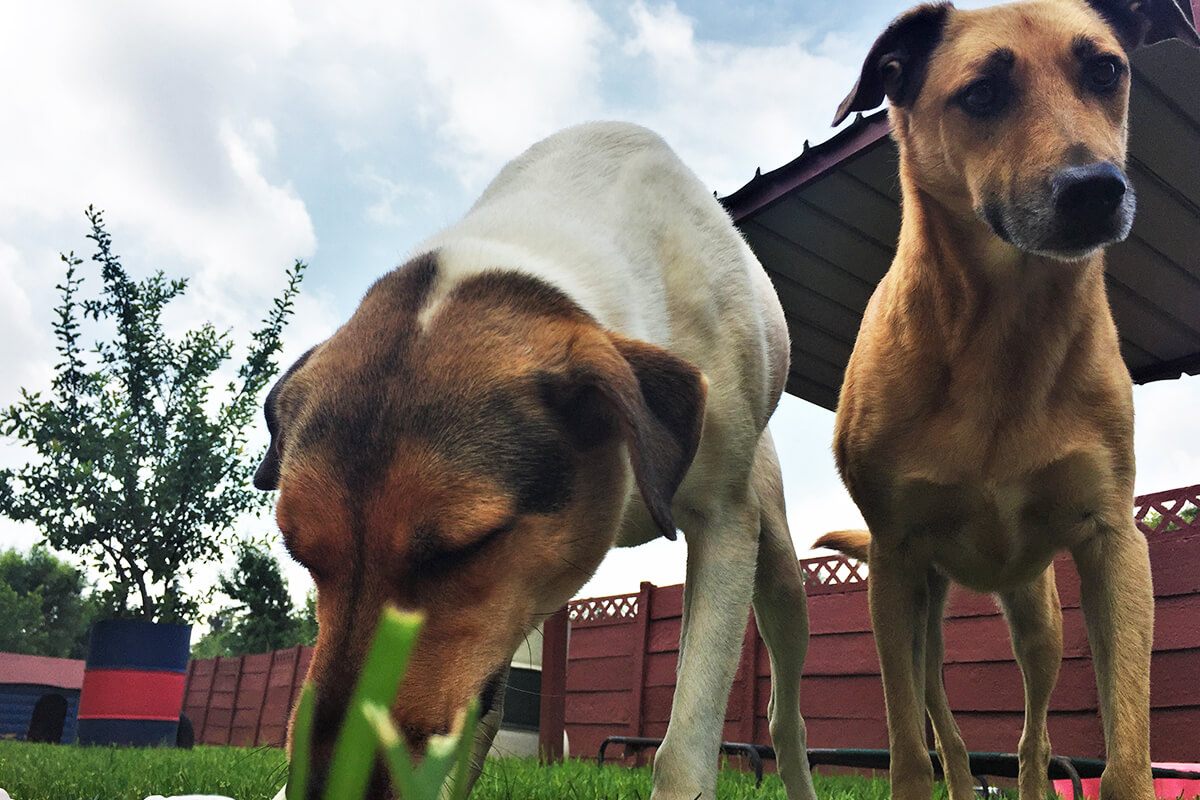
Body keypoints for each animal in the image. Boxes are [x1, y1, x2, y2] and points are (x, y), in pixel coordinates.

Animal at [252, 122, 816, 800]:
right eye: (300, 554)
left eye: (460, 549)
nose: (328, 786)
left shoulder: (723, 523)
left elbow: (685, 744)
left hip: (775, 565)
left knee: (784, 715)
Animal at [820, 1, 1195, 800]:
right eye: (982, 93)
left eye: (1106, 70)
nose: (1096, 189)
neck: (1002, 333)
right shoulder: (894, 564)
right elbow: (906, 747)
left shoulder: (1114, 542)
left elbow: (1126, 749)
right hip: (923, 618)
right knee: (943, 724)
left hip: (1039, 619)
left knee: (1032, 735)